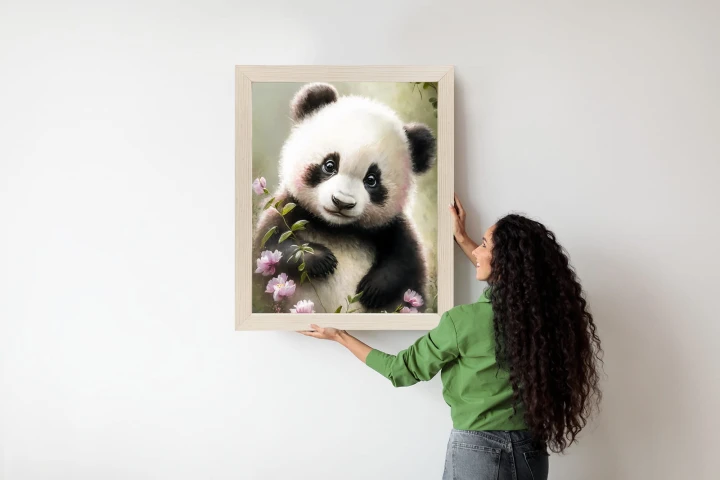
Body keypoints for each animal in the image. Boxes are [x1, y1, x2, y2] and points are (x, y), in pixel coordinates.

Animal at [253, 82, 436, 313]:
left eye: (372, 180)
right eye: (329, 165)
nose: (342, 202)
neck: (337, 229)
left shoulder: (391, 228)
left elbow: (405, 262)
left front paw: (373, 288)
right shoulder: (289, 209)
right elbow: (270, 246)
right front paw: (321, 259)